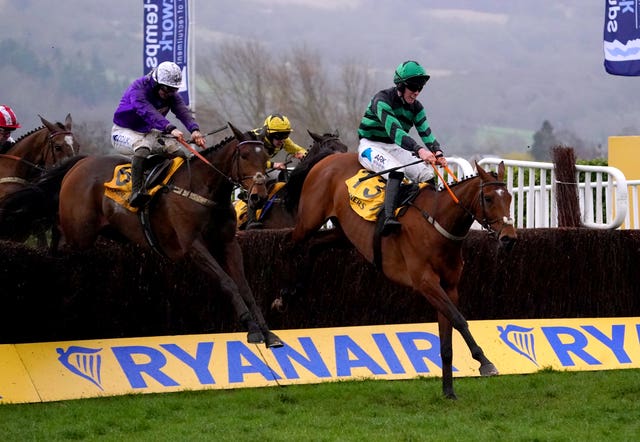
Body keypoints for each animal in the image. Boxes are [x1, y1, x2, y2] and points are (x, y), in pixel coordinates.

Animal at [0, 121, 282, 348]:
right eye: (243, 155)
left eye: (266, 156)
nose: (258, 196)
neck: (203, 189)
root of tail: (80, 162)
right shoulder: (192, 245)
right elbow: (227, 282)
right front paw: (252, 329)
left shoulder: (228, 242)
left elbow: (244, 285)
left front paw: (267, 333)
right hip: (79, 232)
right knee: (59, 239)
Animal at [280, 154, 516, 398]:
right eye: (488, 198)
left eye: (509, 197)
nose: (509, 238)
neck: (437, 224)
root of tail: (329, 158)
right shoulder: (425, 282)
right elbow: (459, 320)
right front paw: (485, 362)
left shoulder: (449, 287)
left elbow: (447, 337)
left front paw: (449, 391)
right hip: (310, 218)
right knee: (288, 243)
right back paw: (283, 294)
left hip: (343, 232)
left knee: (313, 246)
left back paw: (296, 290)